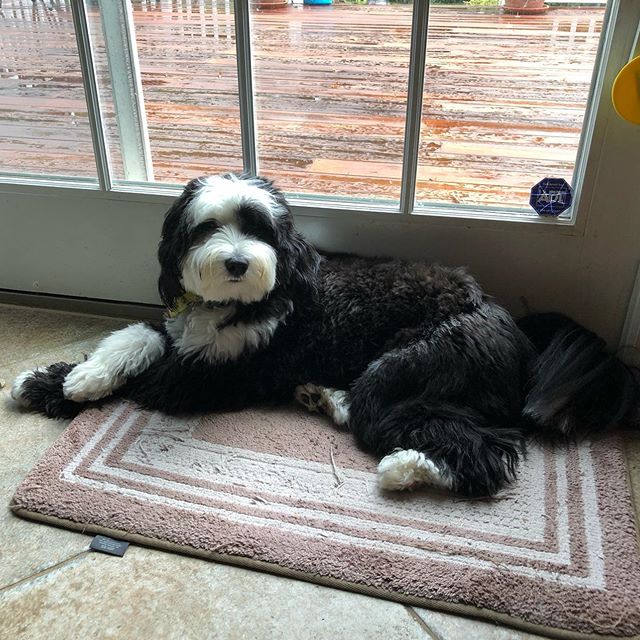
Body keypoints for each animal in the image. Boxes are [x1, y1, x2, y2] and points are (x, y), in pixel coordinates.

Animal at [11, 172, 640, 498]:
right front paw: (63, 381)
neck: (236, 302)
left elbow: (152, 372)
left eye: (260, 229)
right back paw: (324, 396)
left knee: (479, 448)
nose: (237, 261)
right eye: (207, 228)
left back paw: (404, 466)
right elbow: (135, 338)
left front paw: (74, 387)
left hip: (407, 366)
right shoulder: (182, 332)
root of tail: (518, 336)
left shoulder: (221, 374)